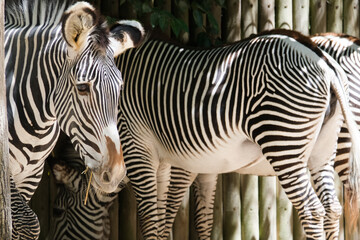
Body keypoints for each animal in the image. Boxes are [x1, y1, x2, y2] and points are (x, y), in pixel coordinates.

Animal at [114, 28, 360, 240]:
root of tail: (320, 57)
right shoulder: (187, 163)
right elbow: (196, 218)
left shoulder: (142, 150)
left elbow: (155, 218)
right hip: (323, 151)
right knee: (332, 207)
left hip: (284, 142)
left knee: (312, 210)